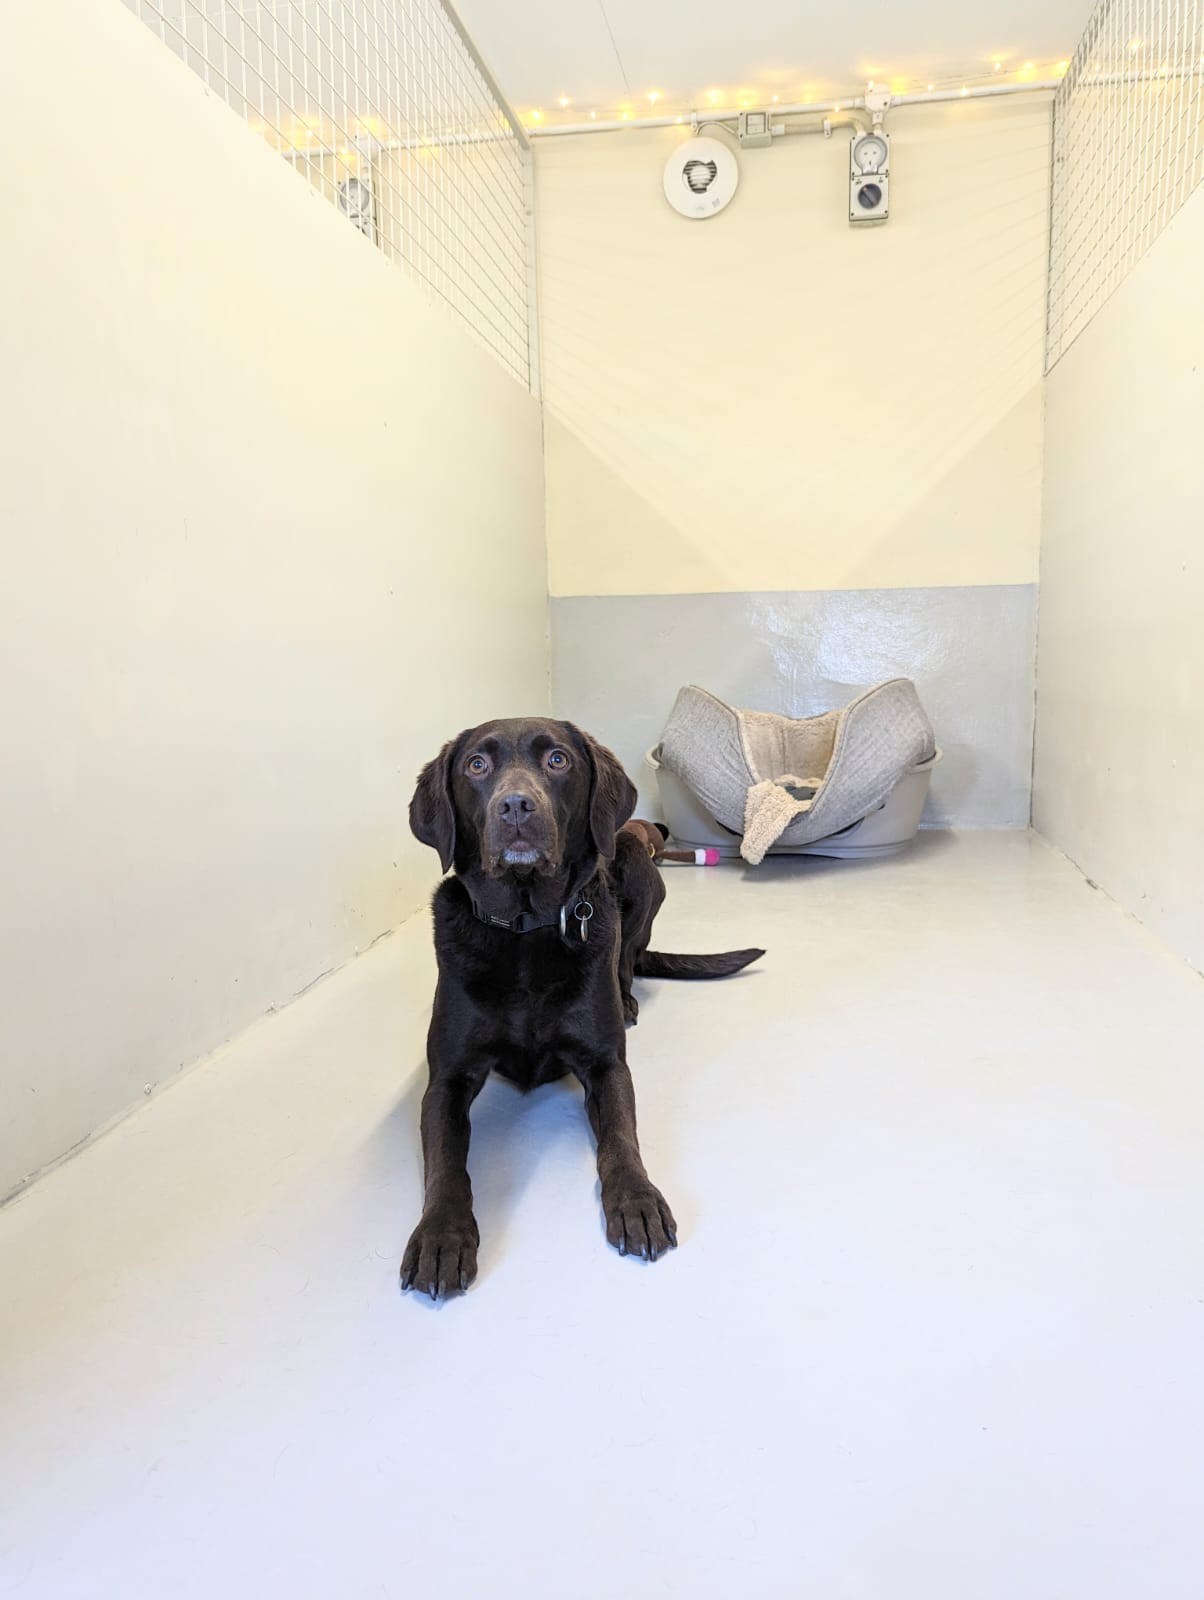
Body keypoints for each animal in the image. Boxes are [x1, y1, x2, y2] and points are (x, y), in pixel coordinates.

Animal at [401, 717, 764, 1300]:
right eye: (476, 765)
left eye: (558, 760)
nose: (516, 807)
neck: (525, 929)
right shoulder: (446, 1081)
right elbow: (446, 1165)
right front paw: (441, 1235)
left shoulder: (606, 1065)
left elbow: (620, 1137)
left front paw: (637, 1200)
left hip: (636, 868)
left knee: (628, 956)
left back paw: (628, 996)